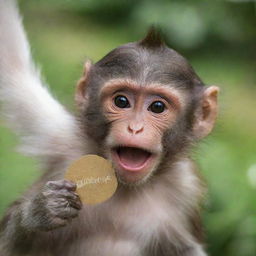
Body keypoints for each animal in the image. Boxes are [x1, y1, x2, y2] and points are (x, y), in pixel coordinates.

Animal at [0, 0, 219, 256]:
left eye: (157, 107)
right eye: (121, 101)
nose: (135, 128)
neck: (124, 186)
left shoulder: (186, 188)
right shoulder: (60, 135)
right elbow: (12, 66)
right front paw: (38, 213)